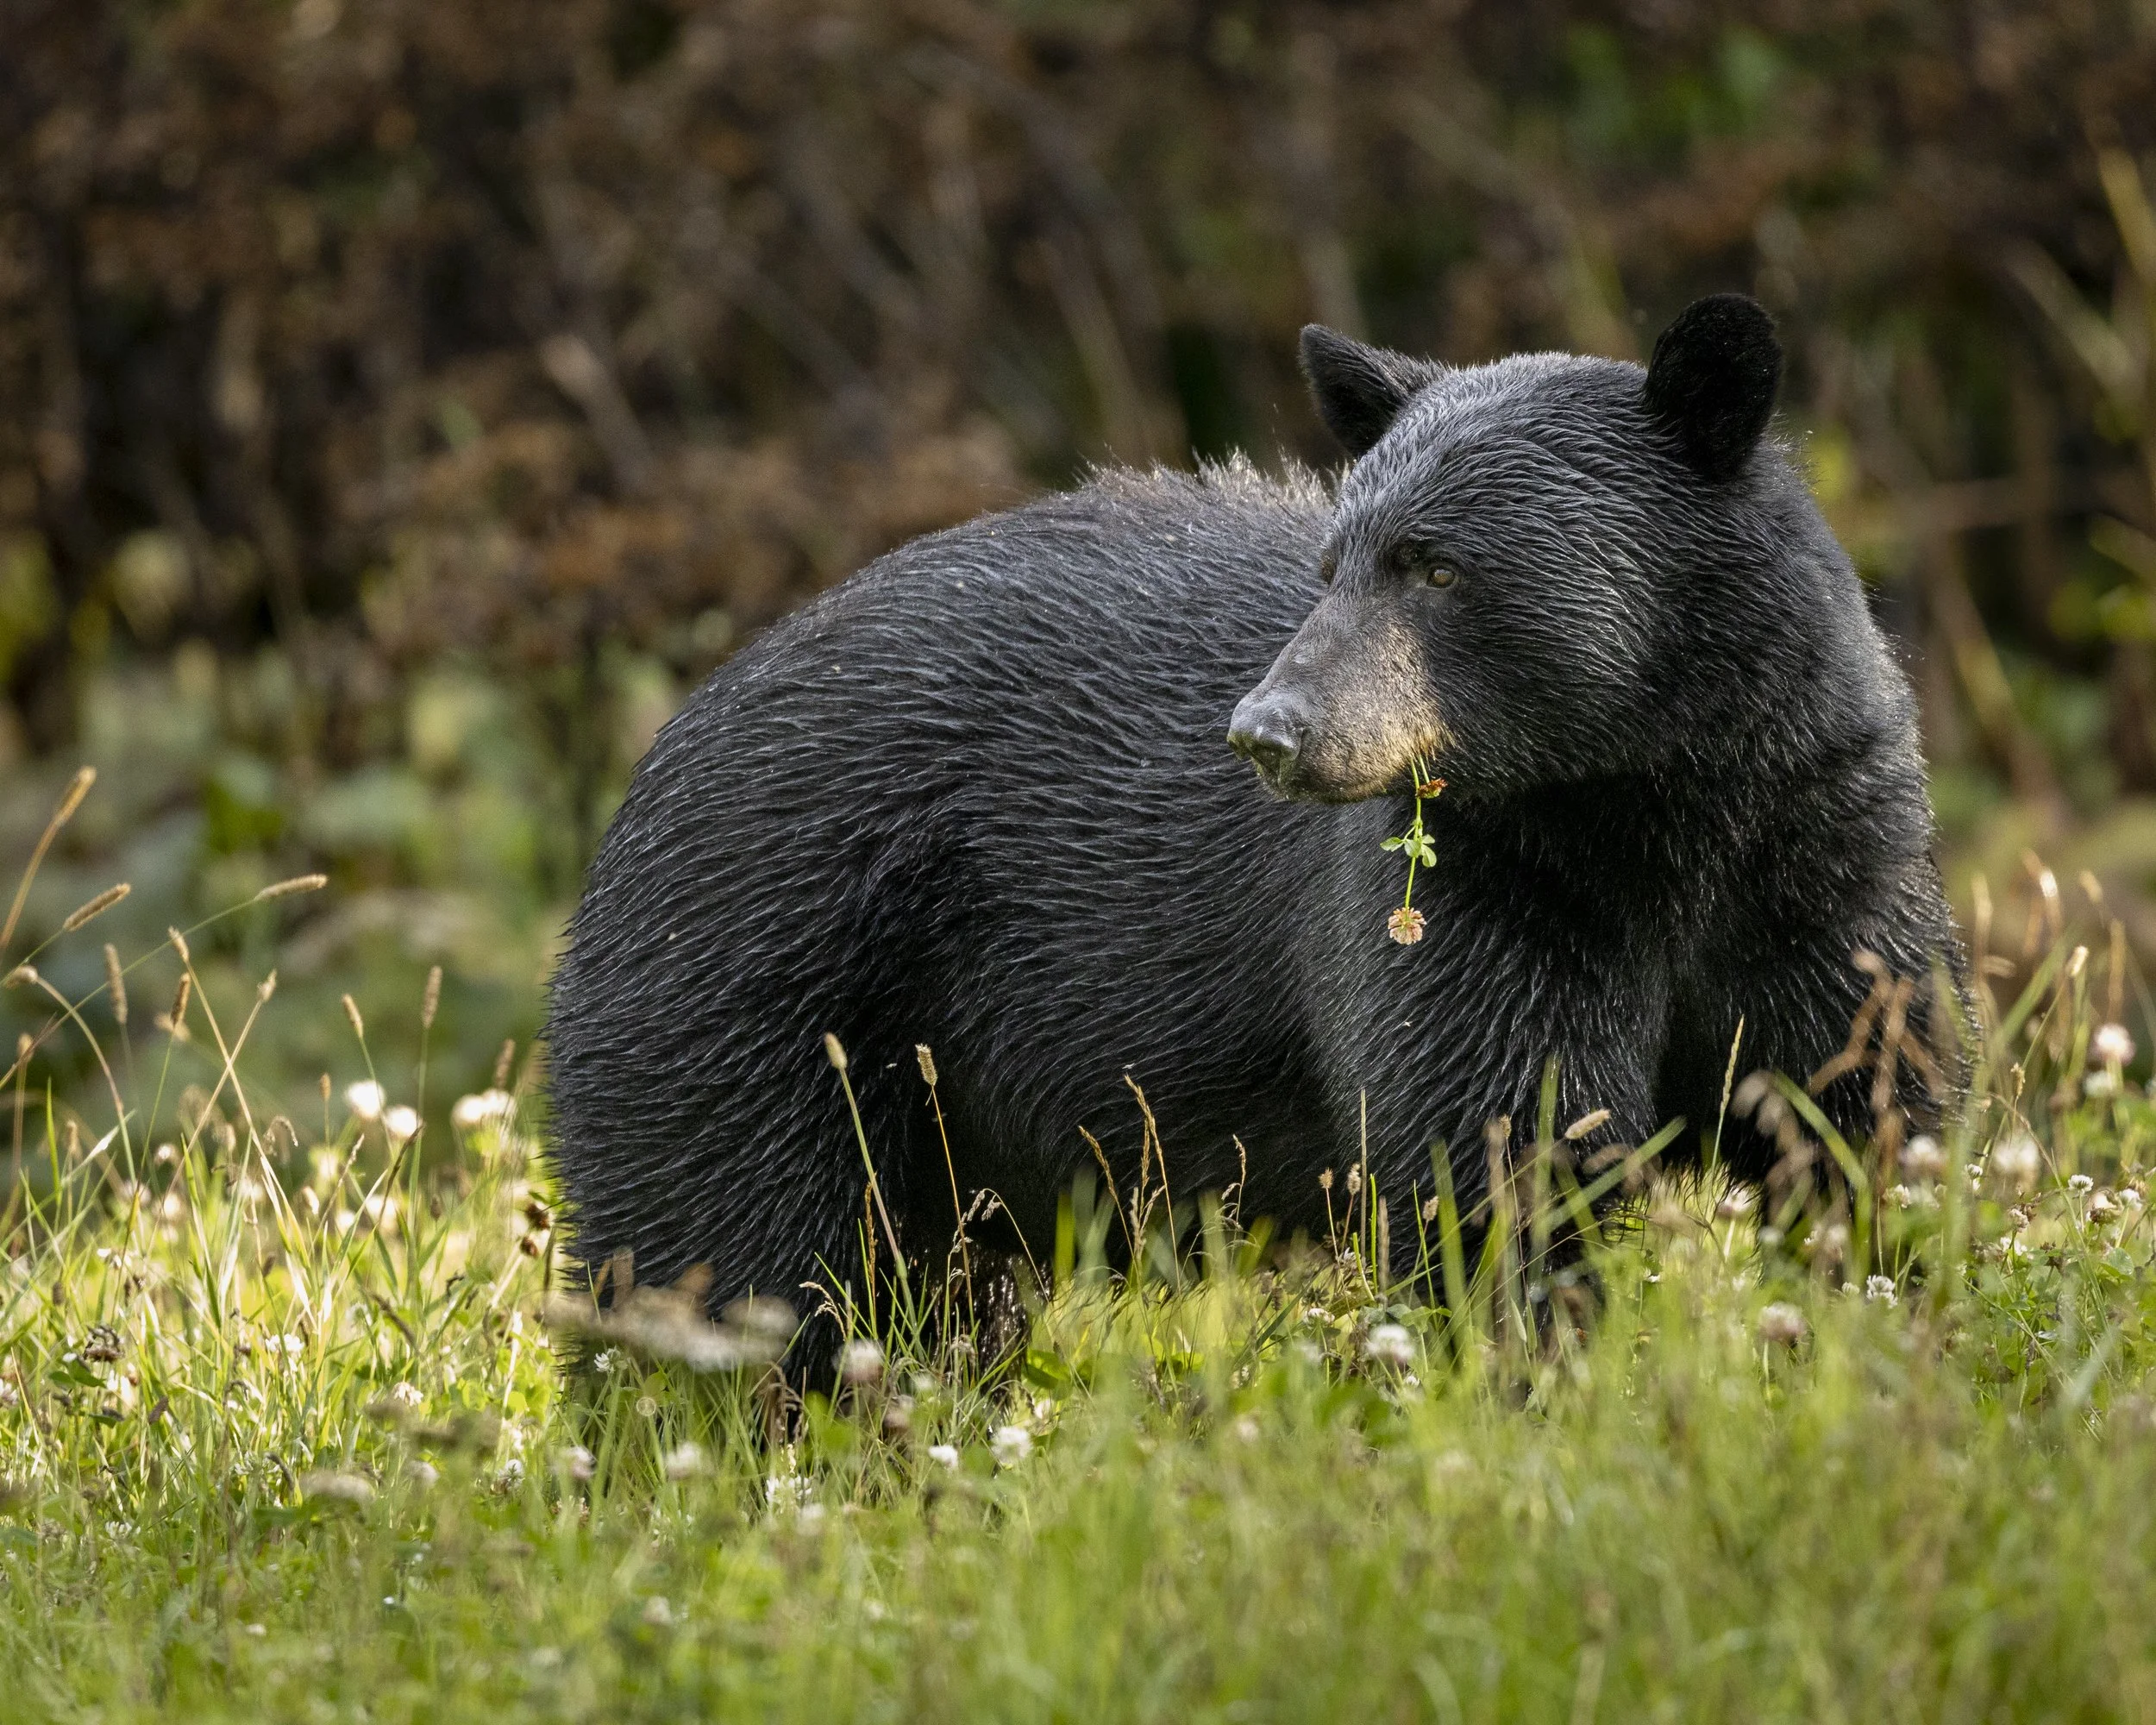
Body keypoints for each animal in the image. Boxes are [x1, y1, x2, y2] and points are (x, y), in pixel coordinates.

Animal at [545, 293, 1960, 1325]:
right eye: (1333, 562)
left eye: (1436, 567)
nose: (1269, 733)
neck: (1646, 820)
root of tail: (653, 765)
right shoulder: (1467, 897)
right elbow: (1498, 1154)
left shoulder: (1824, 855)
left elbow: (1867, 1106)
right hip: (757, 997)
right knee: (733, 1266)